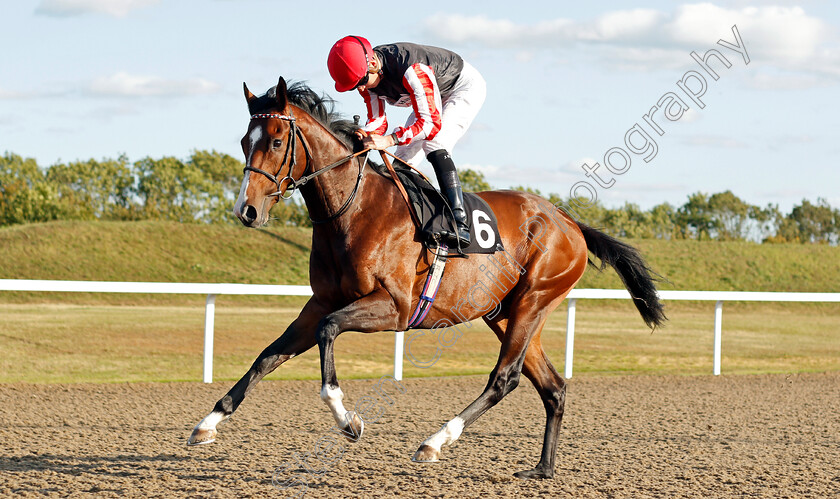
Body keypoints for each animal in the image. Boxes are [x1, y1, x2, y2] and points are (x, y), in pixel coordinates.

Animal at [187, 78, 668, 480]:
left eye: (276, 140)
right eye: (244, 142)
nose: (247, 211)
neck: (352, 211)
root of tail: (569, 221)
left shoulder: (395, 307)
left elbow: (328, 332)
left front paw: (348, 419)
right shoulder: (319, 302)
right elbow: (268, 356)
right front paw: (207, 423)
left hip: (535, 298)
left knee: (505, 378)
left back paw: (435, 441)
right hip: (504, 312)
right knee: (552, 387)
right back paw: (542, 469)